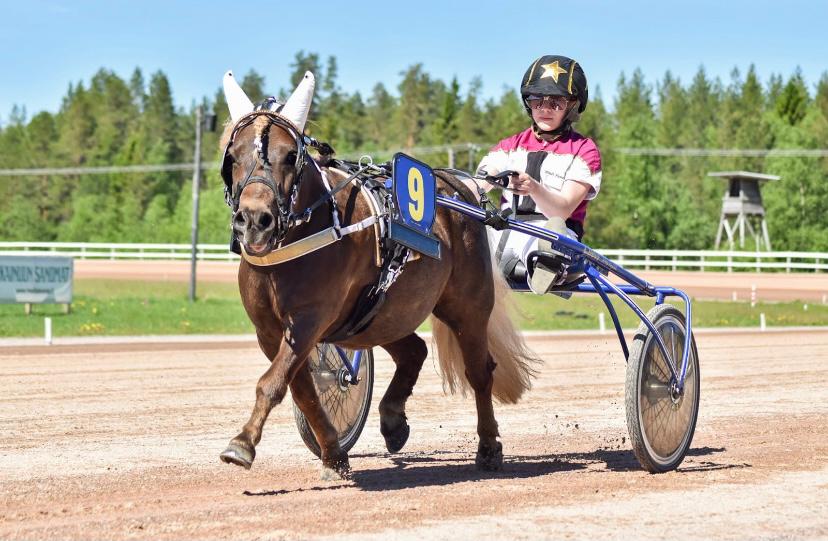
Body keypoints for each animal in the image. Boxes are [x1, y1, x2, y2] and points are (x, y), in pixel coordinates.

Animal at [217, 70, 540, 476]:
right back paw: (392, 420)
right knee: (414, 350)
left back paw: (488, 447)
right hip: (378, 315)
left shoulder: (310, 318)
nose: (255, 220)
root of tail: (460, 187)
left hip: (467, 306)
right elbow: (302, 389)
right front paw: (334, 453)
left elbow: (273, 382)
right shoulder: (270, 330)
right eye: (232, 156)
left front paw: (242, 443)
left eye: (291, 155)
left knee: (480, 371)